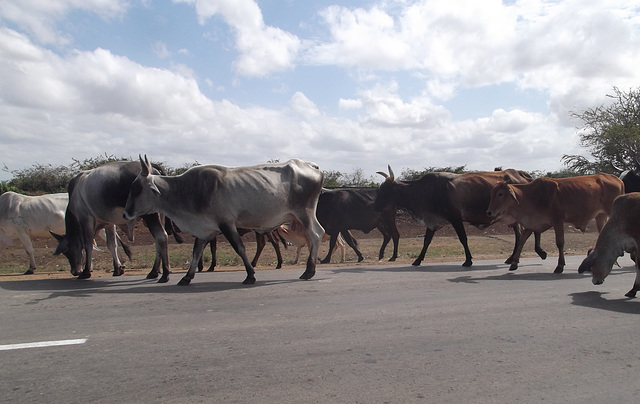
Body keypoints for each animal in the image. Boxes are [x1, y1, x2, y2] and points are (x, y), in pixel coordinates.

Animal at [124, 156, 324, 286]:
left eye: (136, 188)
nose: (126, 214)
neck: (189, 189)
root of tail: (312, 166)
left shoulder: (226, 223)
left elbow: (239, 248)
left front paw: (250, 275)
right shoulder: (204, 230)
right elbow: (196, 253)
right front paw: (187, 277)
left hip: (304, 213)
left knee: (315, 235)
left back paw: (309, 270)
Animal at [488, 172, 624, 274]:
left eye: (500, 193)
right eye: (492, 193)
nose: (489, 212)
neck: (531, 196)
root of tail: (617, 179)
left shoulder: (557, 221)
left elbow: (560, 243)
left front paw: (560, 266)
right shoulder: (531, 224)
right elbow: (522, 241)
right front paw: (514, 263)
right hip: (600, 216)